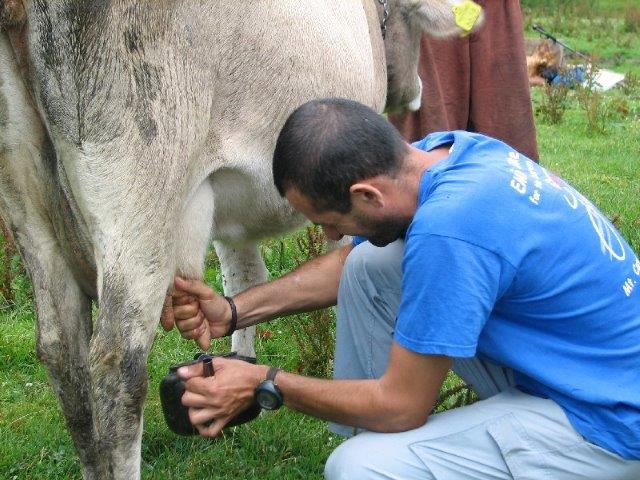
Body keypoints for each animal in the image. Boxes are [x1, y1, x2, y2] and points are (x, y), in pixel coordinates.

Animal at [0, 1, 480, 478]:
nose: (416, 91)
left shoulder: (226, 213)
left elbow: (245, 279)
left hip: (28, 203)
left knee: (62, 352)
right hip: (140, 184)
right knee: (118, 363)